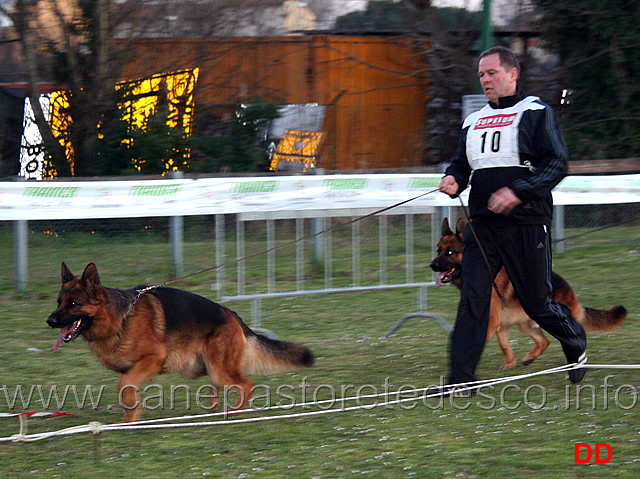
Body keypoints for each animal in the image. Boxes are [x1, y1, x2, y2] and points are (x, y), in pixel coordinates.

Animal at [46, 262, 314, 424]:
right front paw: (130, 416)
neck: (119, 318)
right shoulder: (130, 368)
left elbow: (125, 385)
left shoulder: (152, 359)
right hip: (210, 367)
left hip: (220, 368)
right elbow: (126, 389)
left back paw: (234, 412)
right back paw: (214, 410)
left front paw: (129, 420)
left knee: (246, 385)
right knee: (218, 388)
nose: (49, 321)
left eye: (73, 304)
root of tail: (233, 315)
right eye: (59, 302)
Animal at [430, 218, 624, 372]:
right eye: (438, 250)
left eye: (450, 252)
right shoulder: (502, 326)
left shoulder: (491, 323)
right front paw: (509, 364)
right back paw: (530, 357)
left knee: (573, 336)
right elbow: (505, 346)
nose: (432, 265)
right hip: (526, 323)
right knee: (544, 341)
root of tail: (569, 289)